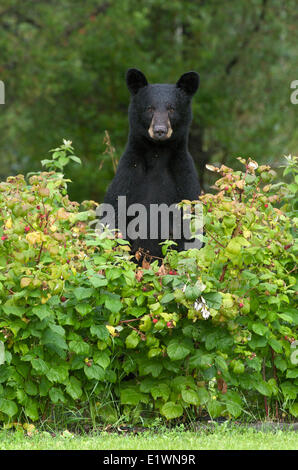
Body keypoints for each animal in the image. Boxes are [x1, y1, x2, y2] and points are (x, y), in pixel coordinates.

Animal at [102, 69, 200, 260]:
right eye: (149, 108)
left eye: (171, 108)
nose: (160, 130)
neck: (157, 154)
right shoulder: (128, 177)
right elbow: (114, 220)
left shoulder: (184, 180)